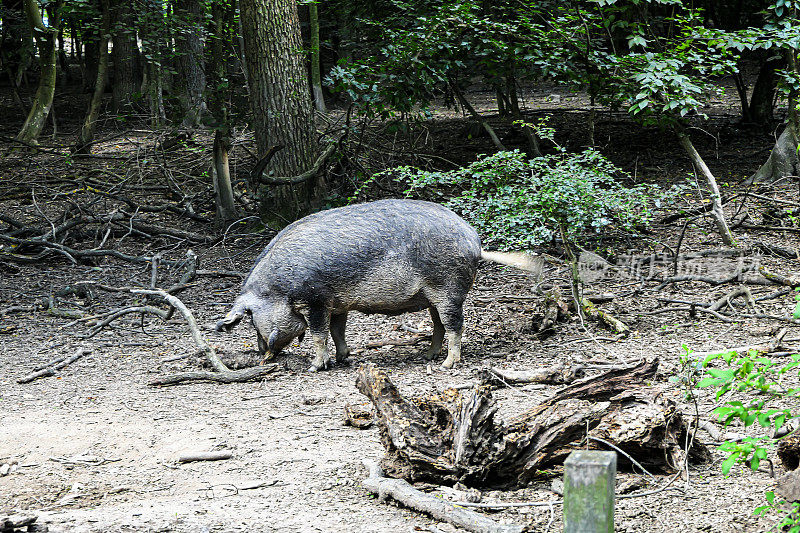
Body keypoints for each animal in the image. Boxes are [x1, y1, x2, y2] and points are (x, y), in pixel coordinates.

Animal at [214, 198, 536, 370]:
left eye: (252, 317)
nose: (263, 356)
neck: (279, 287)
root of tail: (474, 243)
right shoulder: (337, 303)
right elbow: (337, 331)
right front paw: (343, 358)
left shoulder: (316, 299)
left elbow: (319, 334)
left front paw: (316, 366)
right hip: (433, 295)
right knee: (439, 325)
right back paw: (428, 356)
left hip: (448, 287)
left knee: (456, 325)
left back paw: (447, 365)